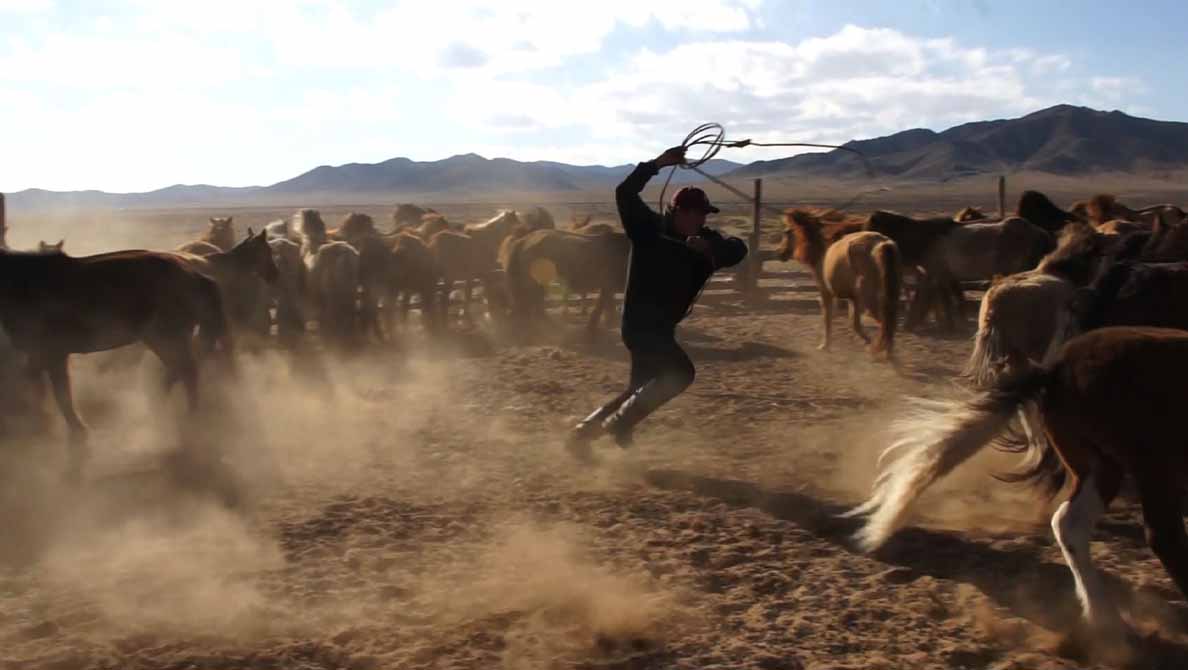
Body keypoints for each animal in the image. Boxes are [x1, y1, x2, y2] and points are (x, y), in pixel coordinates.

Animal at [0, 245, 234, 465]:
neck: (24, 283)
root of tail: (197, 276)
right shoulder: (45, 354)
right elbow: (43, 386)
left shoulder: (52, 353)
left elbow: (59, 394)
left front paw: (74, 430)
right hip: (163, 338)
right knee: (179, 371)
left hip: (166, 336)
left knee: (187, 371)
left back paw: (189, 420)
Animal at [779, 209, 898, 358]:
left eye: (787, 231)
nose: (780, 253)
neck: (822, 248)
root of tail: (882, 244)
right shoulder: (853, 299)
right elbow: (854, 324)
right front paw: (867, 343)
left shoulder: (826, 292)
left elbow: (828, 319)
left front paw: (825, 346)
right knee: (888, 324)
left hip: (870, 300)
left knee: (885, 324)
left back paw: (885, 354)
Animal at [845, 327, 1188, 641]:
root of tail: (1056, 370)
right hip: (1149, 466)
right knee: (1159, 535)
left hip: (1102, 467)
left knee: (1071, 524)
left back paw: (1104, 619)